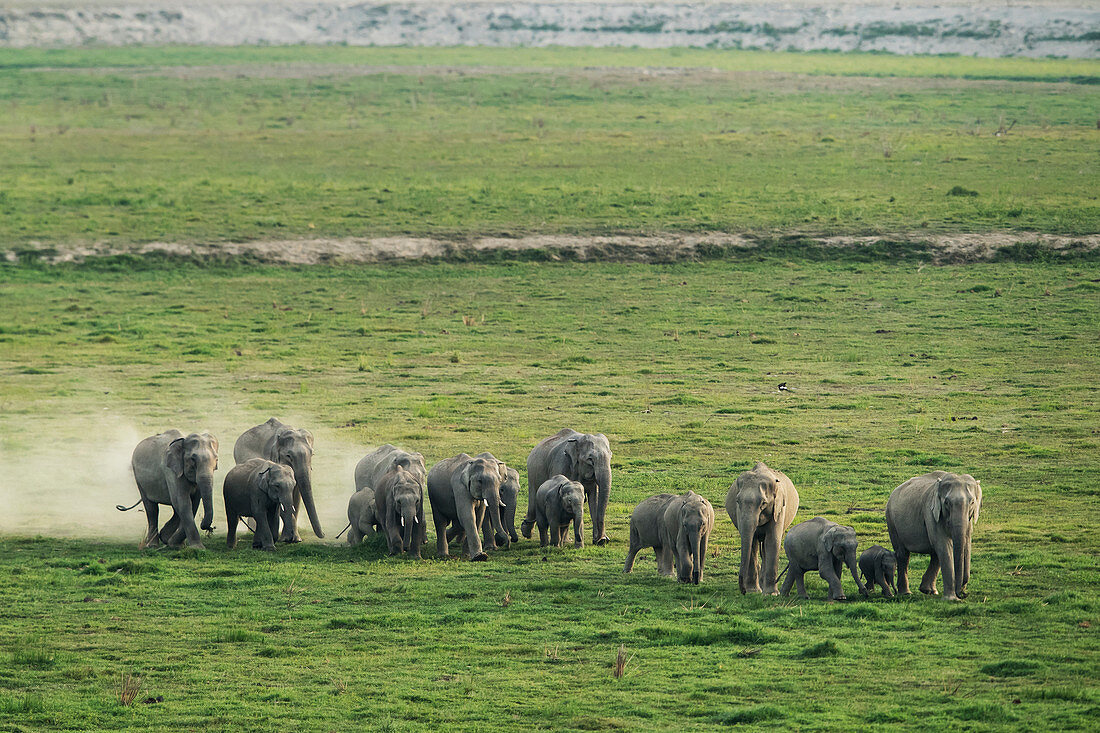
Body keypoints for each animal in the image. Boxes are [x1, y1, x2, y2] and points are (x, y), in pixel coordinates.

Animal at [721, 462, 800, 594]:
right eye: (737, 501)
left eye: (763, 503)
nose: (743, 591)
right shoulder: (739, 512)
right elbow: (752, 543)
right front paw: (753, 591)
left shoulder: (779, 510)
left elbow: (773, 541)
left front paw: (771, 593)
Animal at [880, 468, 985, 598]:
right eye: (947, 503)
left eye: (972, 502)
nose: (963, 593)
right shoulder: (931, 512)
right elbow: (943, 544)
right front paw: (952, 599)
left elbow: (963, 541)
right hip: (891, 520)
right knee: (903, 554)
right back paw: (906, 593)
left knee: (935, 554)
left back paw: (929, 591)